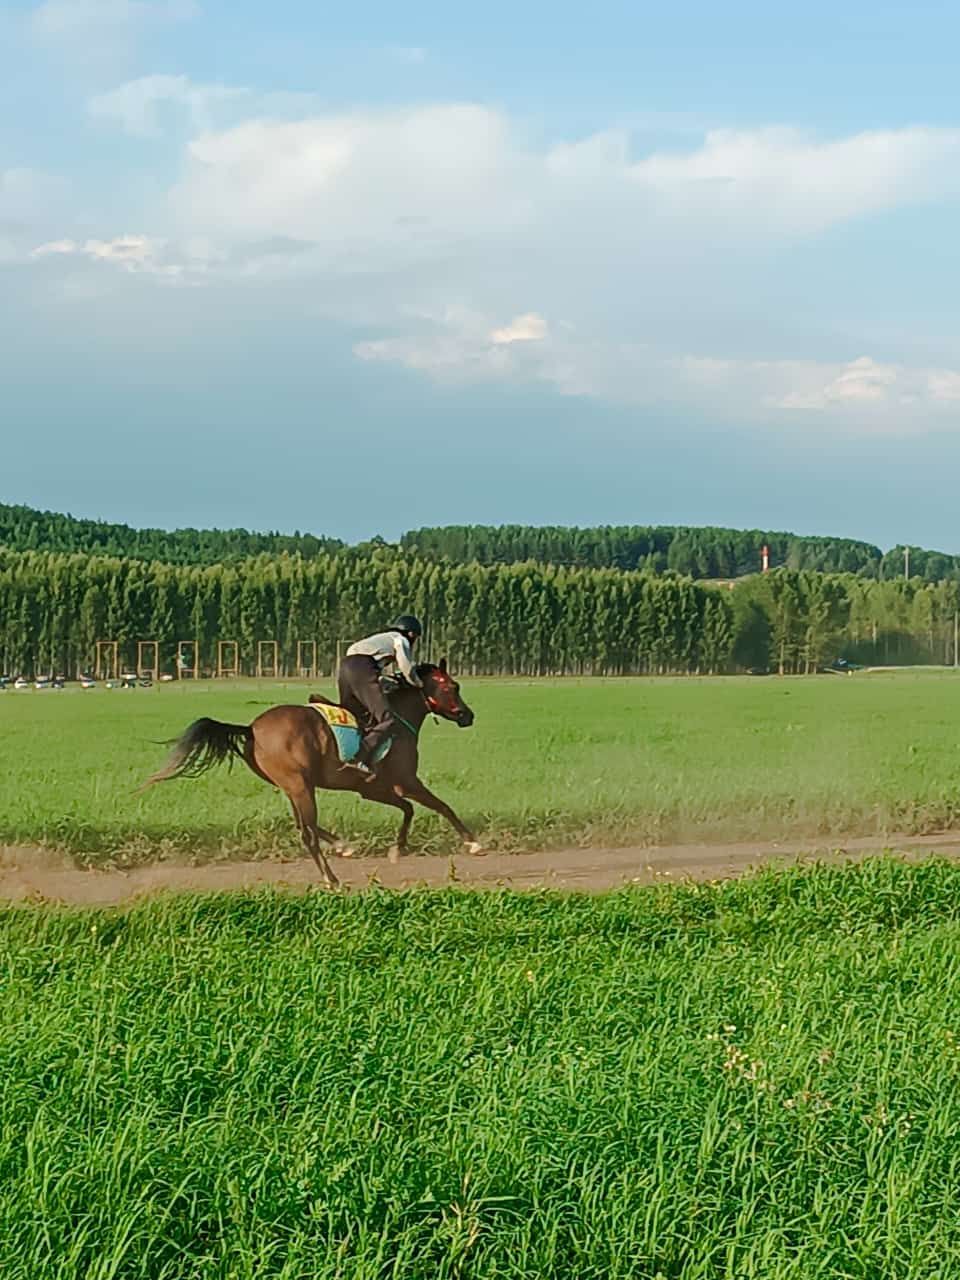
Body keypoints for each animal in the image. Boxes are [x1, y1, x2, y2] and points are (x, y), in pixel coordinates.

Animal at [140, 660, 481, 890]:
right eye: (452, 687)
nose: (468, 715)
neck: (398, 719)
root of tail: (251, 728)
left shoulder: (374, 788)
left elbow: (408, 809)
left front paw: (398, 847)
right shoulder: (404, 782)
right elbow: (439, 806)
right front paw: (472, 842)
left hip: (293, 786)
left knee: (304, 824)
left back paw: (342, 846)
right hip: (300, 785)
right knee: (307, 832)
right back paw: (331, 878)